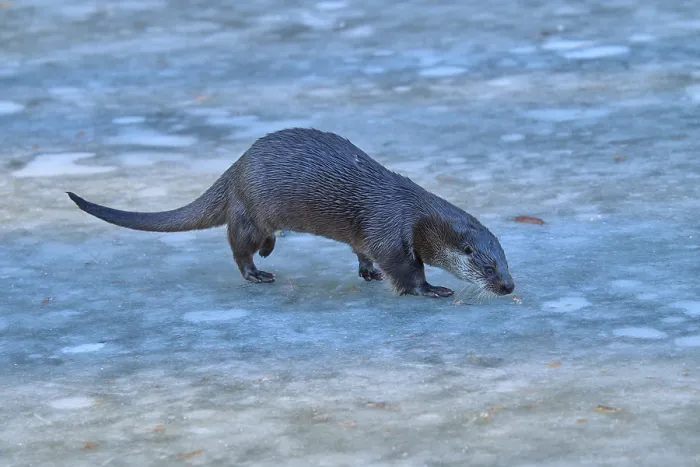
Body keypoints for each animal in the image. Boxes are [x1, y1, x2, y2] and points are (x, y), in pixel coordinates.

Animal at [68, 128, 514, 298]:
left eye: (507, 262)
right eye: (488, 267)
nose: (509, 286)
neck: (413, 214)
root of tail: (235, 168)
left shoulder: (372, 232)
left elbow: (365, 250)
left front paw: (367, 271)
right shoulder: (390, 231)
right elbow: (405, 271)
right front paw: (433, 289)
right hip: (250, 209)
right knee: (239, 246)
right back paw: (258, 271)